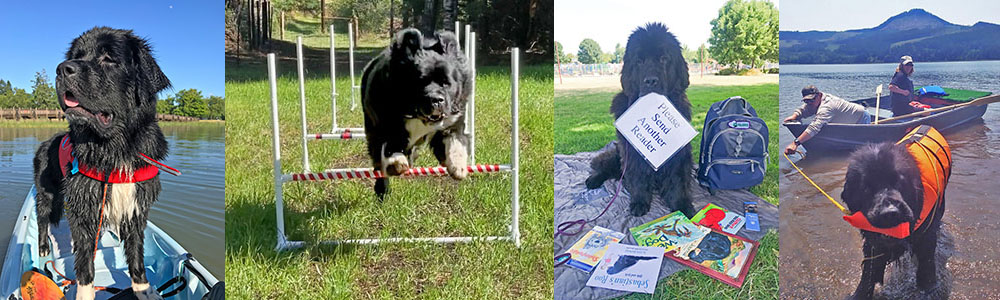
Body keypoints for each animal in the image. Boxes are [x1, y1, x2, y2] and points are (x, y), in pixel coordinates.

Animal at [34, 26, 170, 300]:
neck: (115, 150)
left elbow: (136, 255)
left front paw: (143, 289)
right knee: (42, 219)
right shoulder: (84, 207)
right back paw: (43, 246)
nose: (62, 69)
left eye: (108, 58)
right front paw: (85, 293)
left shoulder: (136, 207)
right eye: (76, 56)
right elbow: (85, 262)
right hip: (46, 193)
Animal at [360, 28, 472, 199]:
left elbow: (455, 140)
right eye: (420, 82)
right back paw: (383, 189)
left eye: (446, 83)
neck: (416, 114)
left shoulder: (453, 121)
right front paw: (397, 162)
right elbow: (390, 144)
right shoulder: (384, 124)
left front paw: (458, 167)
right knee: (379, 164)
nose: (436, 100)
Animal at [584, 22, 692, 217]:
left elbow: (678, 180)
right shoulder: (631, 153)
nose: (651, 81)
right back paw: (593, 180)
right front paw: (639, 203)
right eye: (639, 61)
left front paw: (683, 207)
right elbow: (639, 177)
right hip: (617, 154)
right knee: (606, 166)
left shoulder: (680, 153)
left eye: (664, 58)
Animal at [840, 141, 948, 300]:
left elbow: (926, 263)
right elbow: (868, 272)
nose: (890, 212)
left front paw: (928, 288)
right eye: (866, 188)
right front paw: (859, 294)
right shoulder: (873, 243)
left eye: (899, 182)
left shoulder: (926, 236)